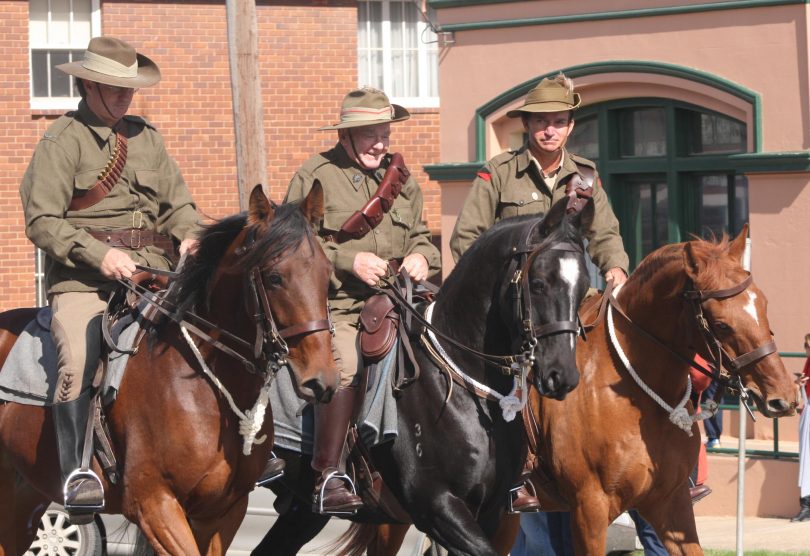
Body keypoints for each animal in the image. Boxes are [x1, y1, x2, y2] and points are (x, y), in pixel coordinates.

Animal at [0, 186, 338, 556]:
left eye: (327, 275)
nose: (322, 380)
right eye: (275, 277)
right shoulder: (155, 505)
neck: (204, 388)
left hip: (25, 499)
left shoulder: (223, 511)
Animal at [374, 224, 800, 552]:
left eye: (763, 305)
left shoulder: (670, 503)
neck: (636, 397)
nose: (784, 397)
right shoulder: (590, 510)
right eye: (722, 324)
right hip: (396, 516)